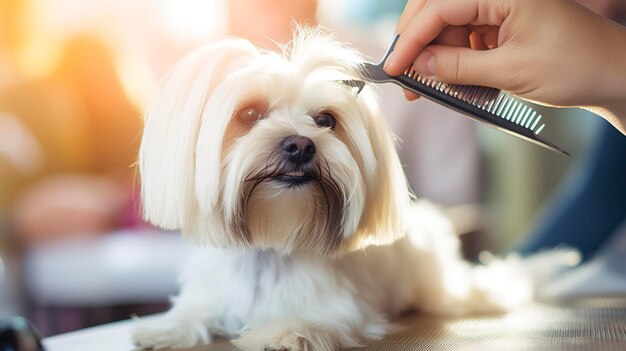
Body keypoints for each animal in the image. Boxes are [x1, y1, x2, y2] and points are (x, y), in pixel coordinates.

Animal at [132, 28, 576, 351]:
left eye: (326, 120)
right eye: (250, 113)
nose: (300, 145)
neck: (272, 247)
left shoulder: (344, 308)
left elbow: (314, 319)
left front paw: (283, 333)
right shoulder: (211, 292)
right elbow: (194, 311)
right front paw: (165, 327)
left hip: (438, 287)